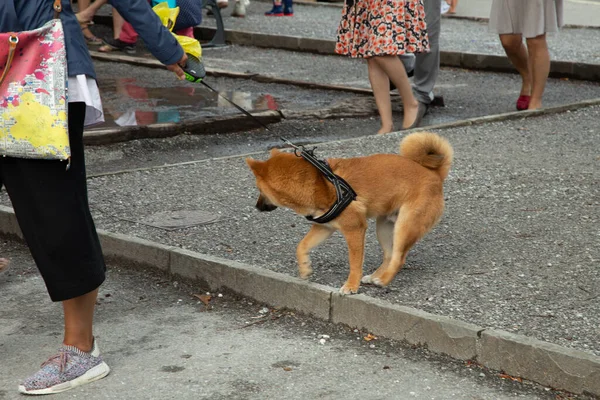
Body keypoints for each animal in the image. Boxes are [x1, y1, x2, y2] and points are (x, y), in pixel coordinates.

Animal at [246, 132, 452, 294]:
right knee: (389, 255)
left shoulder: (354, 229)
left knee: (399, 258)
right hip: (384, 227)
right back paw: (377, 276)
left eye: (259, 190)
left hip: (405, 226)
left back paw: (384, 280)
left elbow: (354, 263)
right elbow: (301, 246)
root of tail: (435, 175)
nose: (256, 206)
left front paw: (351, 286)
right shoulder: (324, 228)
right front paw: (304, 268)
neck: (319, 183)